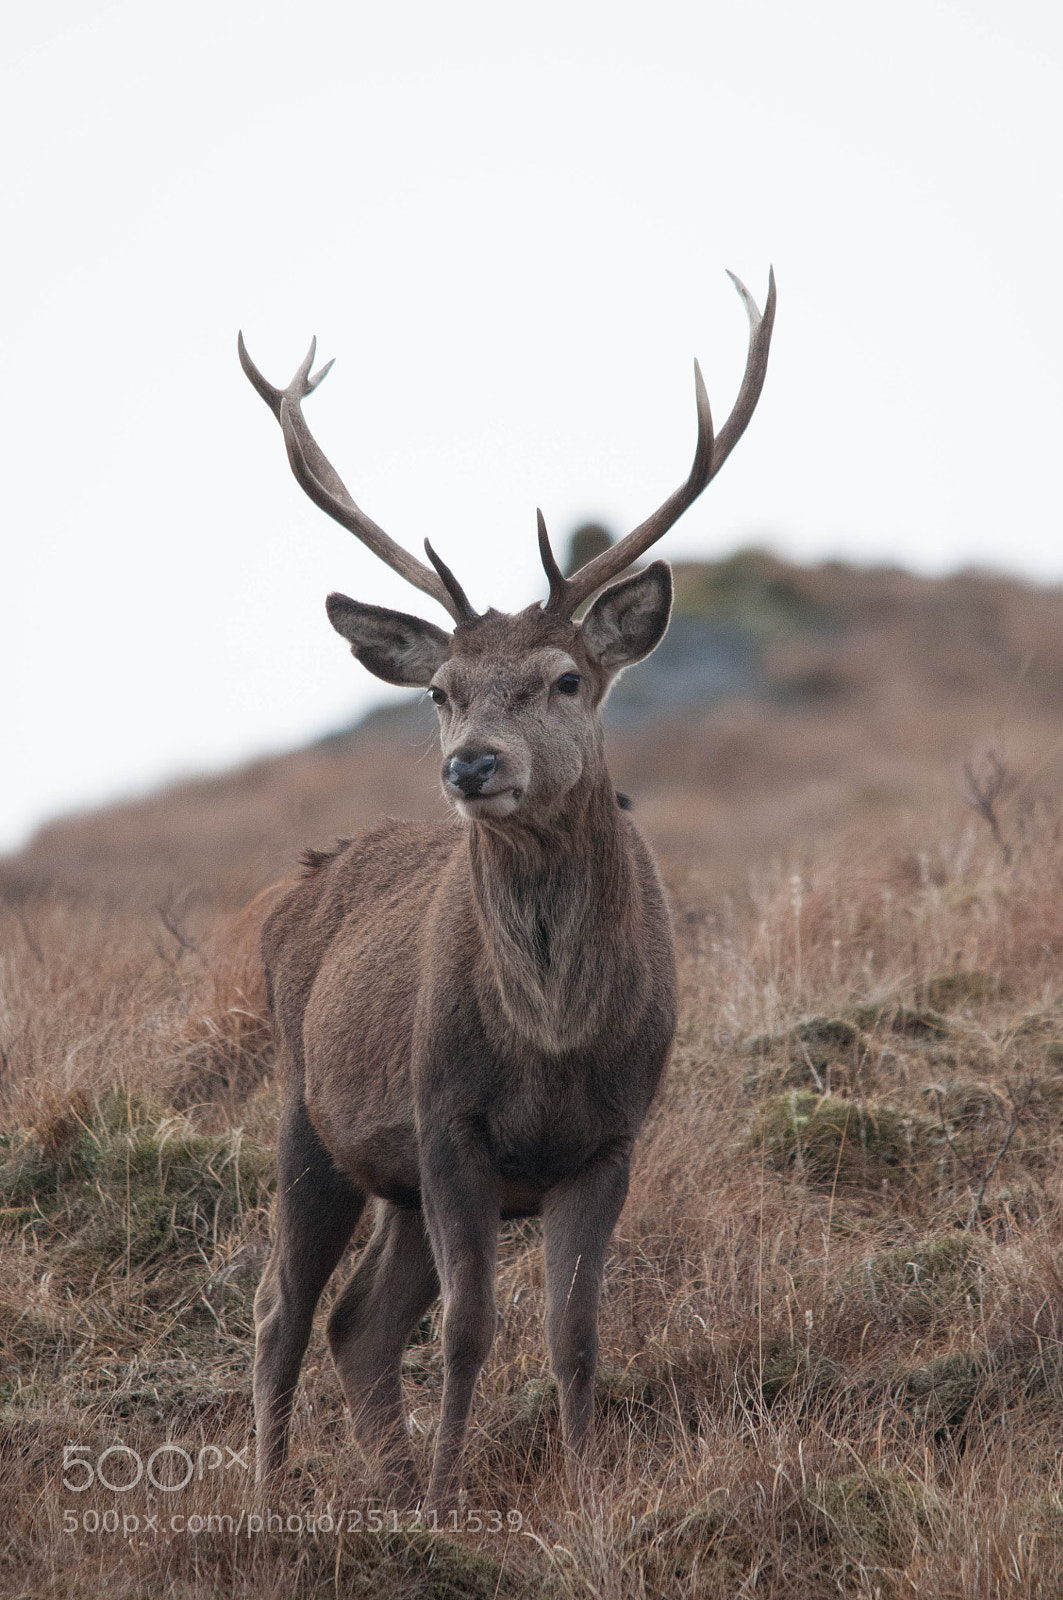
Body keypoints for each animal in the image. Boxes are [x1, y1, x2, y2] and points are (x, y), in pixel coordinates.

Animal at [238, 267, 775, 1510]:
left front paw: (581, 1494)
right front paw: (449, 1504)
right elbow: (472, 1328)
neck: (554, 1038)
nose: (471, 765)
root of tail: (295, 889)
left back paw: (382, 1484)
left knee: (355, 1321)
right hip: (307, 1104)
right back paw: (279, 1492)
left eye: (566, 676)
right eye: (439, 688)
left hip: (385, 1174)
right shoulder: (447, 1119)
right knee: (284, 1309)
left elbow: (574, 1333)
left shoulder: (610, 1137)